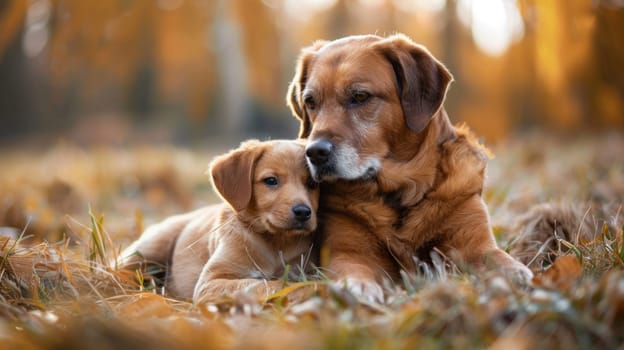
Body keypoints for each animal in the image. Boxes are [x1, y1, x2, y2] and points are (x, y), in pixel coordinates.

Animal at [119, 139, 320, 304]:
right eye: (271, 180)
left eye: (312, 184)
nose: (303, 212)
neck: (276, 242)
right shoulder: (210, 282)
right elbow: (264, 284)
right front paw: (307, 289)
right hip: (148, 249)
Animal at [286, 32, 532, 300]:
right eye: (310, 102)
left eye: (360, 97)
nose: (314, 152)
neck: (402, 191)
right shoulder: (348, 250)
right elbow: (353, 269)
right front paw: (357, 286)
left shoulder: (474, 242)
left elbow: (498, 258)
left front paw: (516, 274)